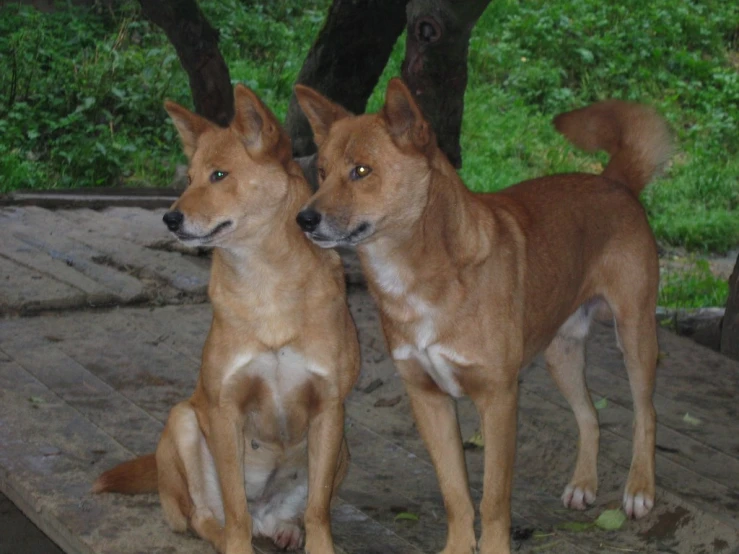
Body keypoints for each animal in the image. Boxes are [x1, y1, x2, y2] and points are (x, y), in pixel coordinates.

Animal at [94, 85, 360, 552]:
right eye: (189, 179)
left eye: (219, 175)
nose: (170, 217)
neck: (265, 285)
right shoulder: (225, 408)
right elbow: (235, 507)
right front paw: (237, 544)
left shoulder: (330, 407)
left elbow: (318, 511)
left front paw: (320, 545)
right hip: (182, 421)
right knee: (205, 517)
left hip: (341, 449)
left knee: (289, 514)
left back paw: (285, 530)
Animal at [294, 77, 672, 552]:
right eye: (322, 172)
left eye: (361, 171)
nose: (304, 219)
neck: (416, 277)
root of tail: (615, 182)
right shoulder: (428, 398)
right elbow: (456, 494)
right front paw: (459, 545)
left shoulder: (498, 399)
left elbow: (493, 500)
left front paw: (491, 546)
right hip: (561, 353)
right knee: (590, 416)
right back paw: (584, 483)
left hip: (635, 335)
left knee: (647, 414)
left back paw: (640, 488)